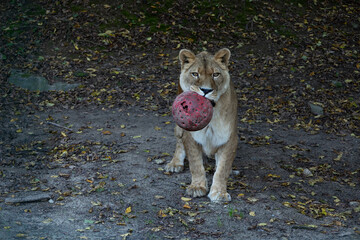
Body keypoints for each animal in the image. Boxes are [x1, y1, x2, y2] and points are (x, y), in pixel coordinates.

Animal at [166, 47, 239, 202]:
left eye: (216, 74)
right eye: (195, 74)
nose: (206, 90)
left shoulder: (229, 138)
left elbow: (223, 168)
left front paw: (219, 193)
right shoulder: (190, 136)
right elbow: (196, 164)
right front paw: (197, 187)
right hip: (179, 125)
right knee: (179, 141)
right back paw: (175, 163)